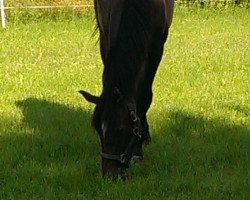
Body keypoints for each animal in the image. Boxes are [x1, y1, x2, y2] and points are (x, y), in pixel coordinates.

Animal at [79, 0, 174, 178]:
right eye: (98, 131)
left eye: (120, 130)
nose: (110, 175)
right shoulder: (109, 36)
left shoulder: (156, 48)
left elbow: (145, 96)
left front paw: (138, 150)